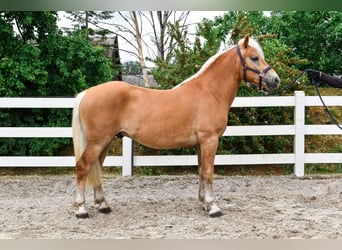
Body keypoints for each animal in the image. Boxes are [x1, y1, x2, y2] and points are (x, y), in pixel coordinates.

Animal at [71, 35, 280, 219]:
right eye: (254, 57)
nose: (275, 80)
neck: (210, 92)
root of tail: (86, 93)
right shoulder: (209, 140)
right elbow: (208, 172)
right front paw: (213, 207)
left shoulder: (201, 143)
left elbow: (201, 171)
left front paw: (203, 203)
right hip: (97, 142)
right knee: (83, 166)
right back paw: (81, 210)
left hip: (104, 142)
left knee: (96, 168)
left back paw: (103, 205)